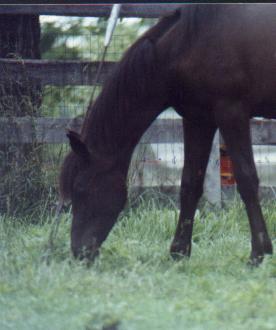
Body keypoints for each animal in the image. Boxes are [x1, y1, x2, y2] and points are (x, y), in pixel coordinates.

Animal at [59, 3, 274, 264]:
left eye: (80, 188)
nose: (79, 252)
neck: (188, 42)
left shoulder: (231, 113)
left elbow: (246, 180)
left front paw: (259, 253)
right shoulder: (198, 119)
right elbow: (190, 183)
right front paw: (179, 252)